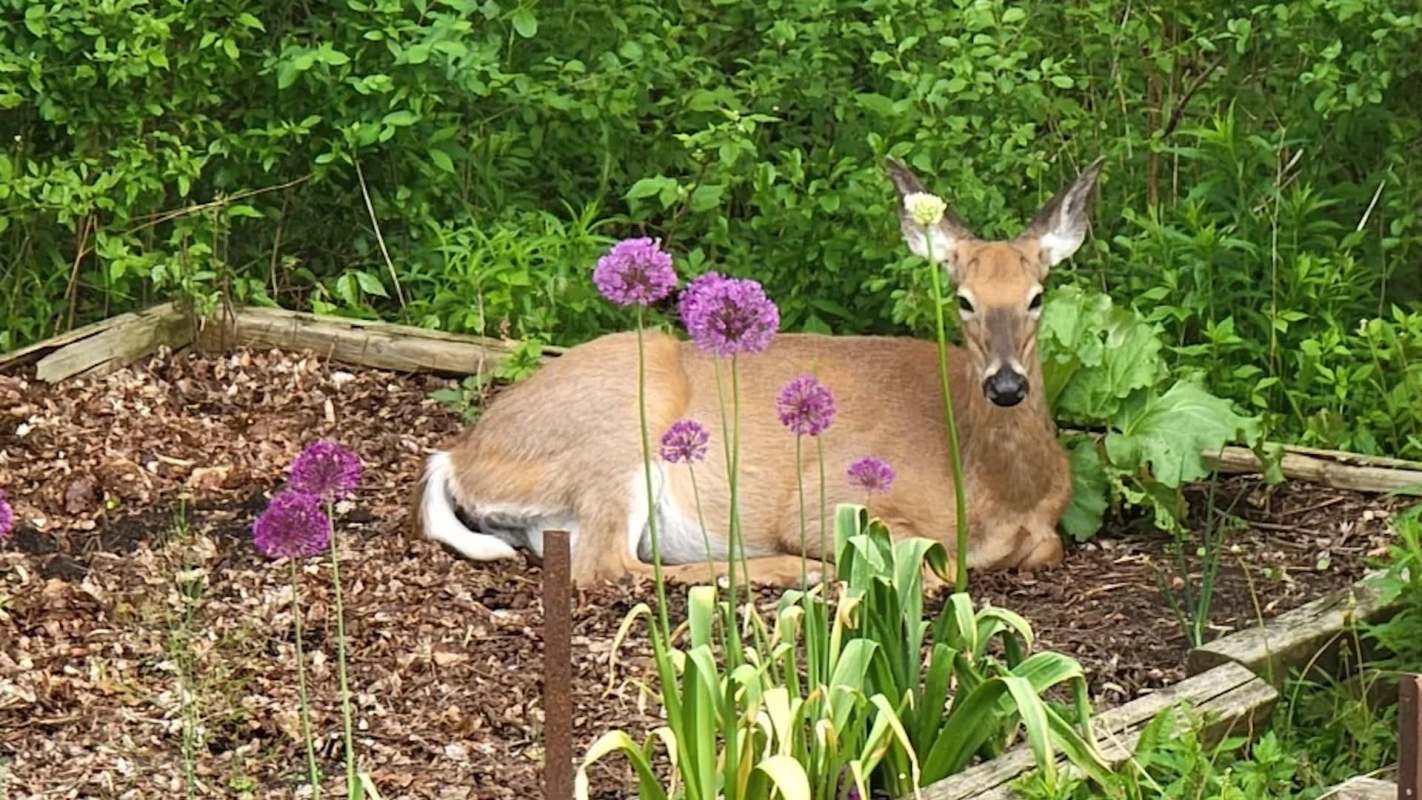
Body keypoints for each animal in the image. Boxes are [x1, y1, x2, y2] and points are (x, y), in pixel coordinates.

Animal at [414, 157, 1105, 587]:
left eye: (1037, 295)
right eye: (962, 299)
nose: (1007, 385)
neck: (994, 489)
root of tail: (461, 454)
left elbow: (1047, 547)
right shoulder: (831, 496)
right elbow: (935, 568)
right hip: (624, 421)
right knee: (609, 568)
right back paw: (790, 571)